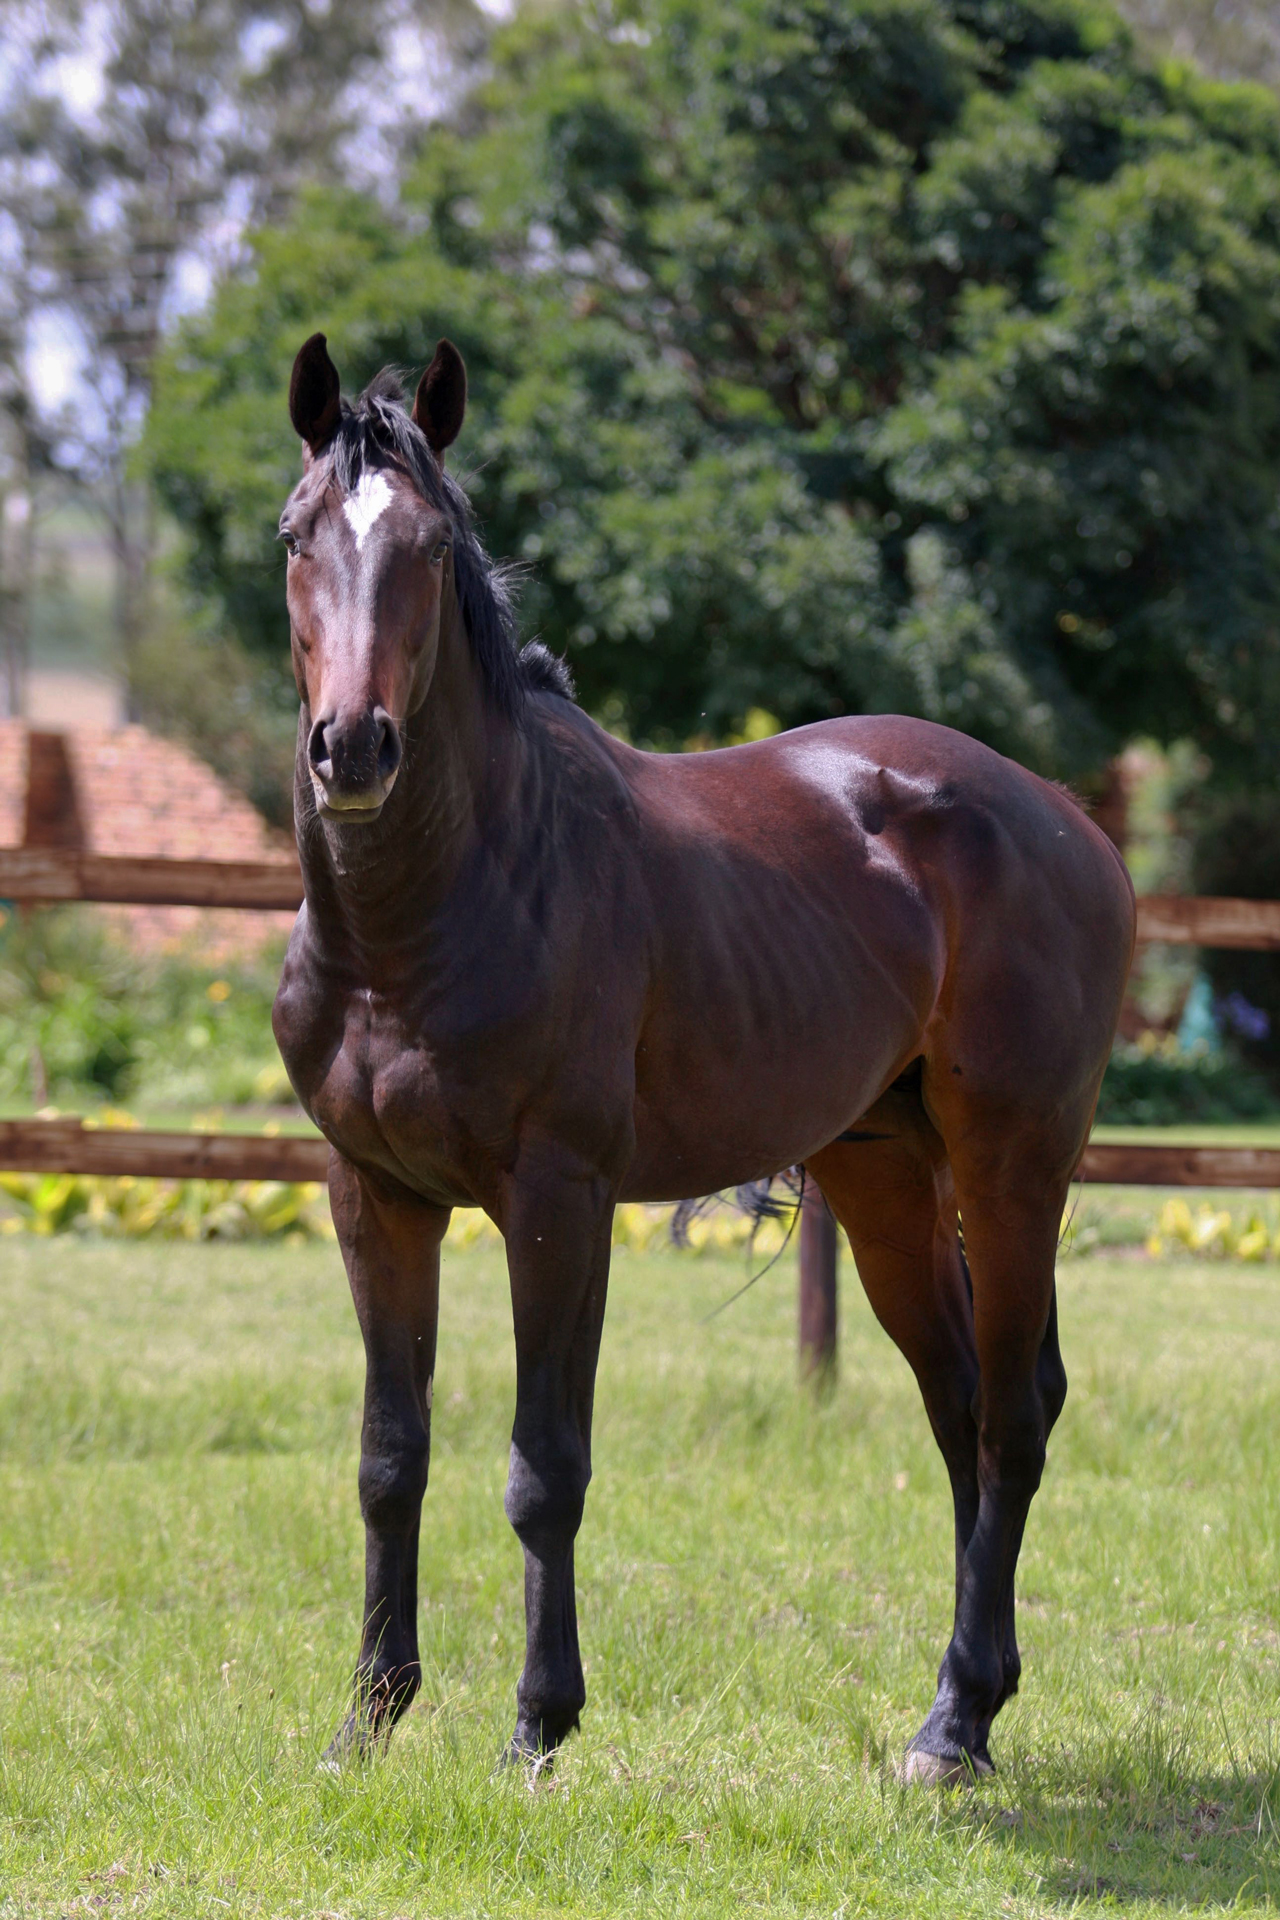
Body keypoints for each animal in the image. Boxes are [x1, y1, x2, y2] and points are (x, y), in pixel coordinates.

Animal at [272, 331, 1135, 1783]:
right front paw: (366, 1724)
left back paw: (952, 1727)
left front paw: (537, 1729)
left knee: (1011, 1419)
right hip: (886, 1182)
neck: (436, 912)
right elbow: (390, 1458)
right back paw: (971, 1701)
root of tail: (1066, 819)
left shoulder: (557, 1202)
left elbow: (544, 1468)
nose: (353, 748)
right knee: (960, 1409)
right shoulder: (372, 1195)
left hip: (1014, 1169)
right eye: (296, 537)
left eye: (433, 549)